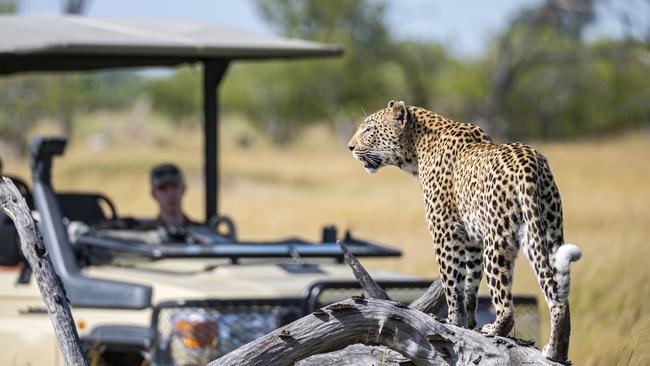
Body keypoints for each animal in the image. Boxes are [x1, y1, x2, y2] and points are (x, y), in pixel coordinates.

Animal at [346, 99, 580, 360]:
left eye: (368, 129)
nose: (350, 147)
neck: (417, 146)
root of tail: (528, 160)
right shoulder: (472, 240)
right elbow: (469, 285)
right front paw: (468, 324)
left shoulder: (444, 231)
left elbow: (451, 281)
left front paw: (452, 321)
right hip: (547, 232)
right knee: (558, 294)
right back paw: (555, 350)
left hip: (497, 242)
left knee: (506, 304)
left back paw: (495, 329)